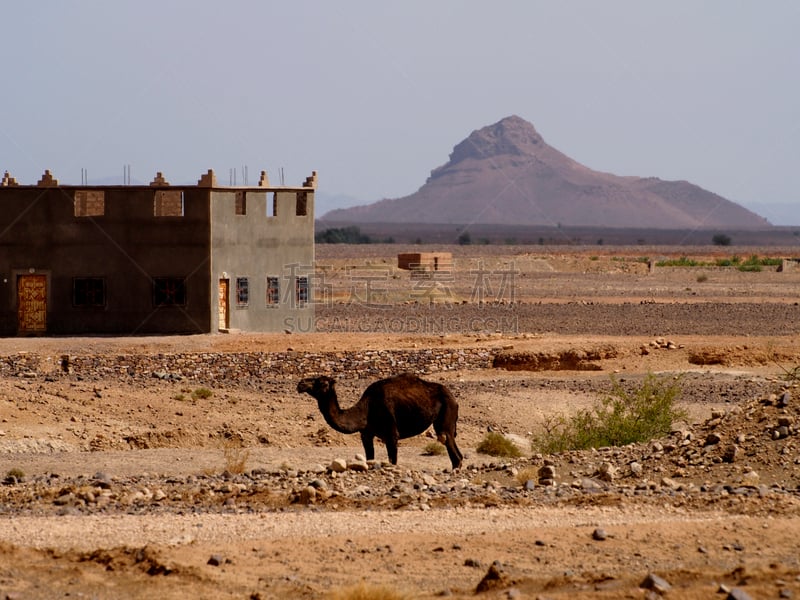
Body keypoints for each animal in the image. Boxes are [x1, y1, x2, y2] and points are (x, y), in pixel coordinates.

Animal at [298, 376, 462, 468]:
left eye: (322, 383)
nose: (301, 384)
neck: (366, 410)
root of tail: (454, 399)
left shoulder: (391, 434)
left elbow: (392, 461)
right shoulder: (366, 434)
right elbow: (369, 458)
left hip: (447, 414)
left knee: (448, 443)